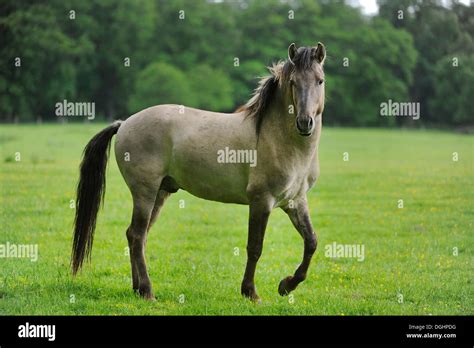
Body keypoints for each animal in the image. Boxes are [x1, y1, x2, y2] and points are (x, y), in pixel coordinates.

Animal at [72, 42, 326, 300]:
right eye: (293, 82)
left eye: (320, 81)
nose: (304, 122)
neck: (278, 139)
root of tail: (124, 123)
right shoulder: (261, 201)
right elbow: (255, 247)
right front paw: (250, 292)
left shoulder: (295, 201)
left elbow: (311, 242)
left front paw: (286, 285)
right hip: (145, 192)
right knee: (137, 235)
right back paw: (148, 291)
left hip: (160, 193)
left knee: (136, 236)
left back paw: (138, 288)